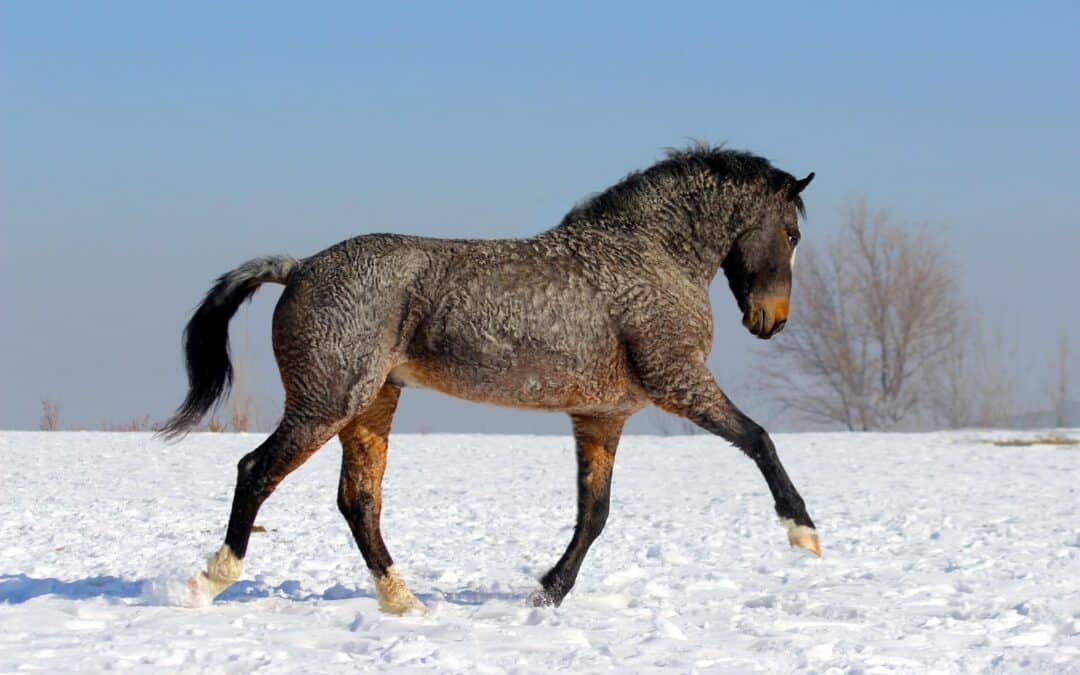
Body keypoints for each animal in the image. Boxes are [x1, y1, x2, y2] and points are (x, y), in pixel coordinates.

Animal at [160, 143, 818, 613]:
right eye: (791, 233)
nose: (773, 321)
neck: (648, 256)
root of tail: (298, 267)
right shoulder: (679, 381)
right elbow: (758, 439)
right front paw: (804, 533)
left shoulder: (602, 416)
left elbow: (594, 513)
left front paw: (547, 593)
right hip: (327, 403)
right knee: (257, 471)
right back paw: (208, 582)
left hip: (370, 406)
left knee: (359, 500)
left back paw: (405, 603)